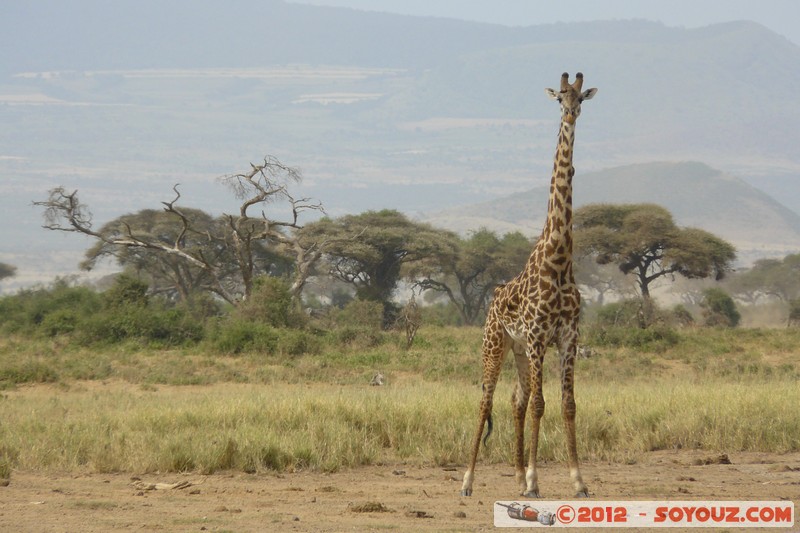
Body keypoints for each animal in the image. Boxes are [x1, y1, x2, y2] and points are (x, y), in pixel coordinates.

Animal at [460, 72, 597, 498]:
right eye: (559, 99)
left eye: (581, 98)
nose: (571, 115)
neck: (559, 260)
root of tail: (491, 298)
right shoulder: (538, 337)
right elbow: (541, 404)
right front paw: (537, 482)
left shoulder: (567, 337)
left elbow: (568, 404)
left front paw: (578, 482)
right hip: (496, 343)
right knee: (486, 401)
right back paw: (468, 481)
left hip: (518, 350)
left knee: (514, 400)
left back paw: (518, 477)